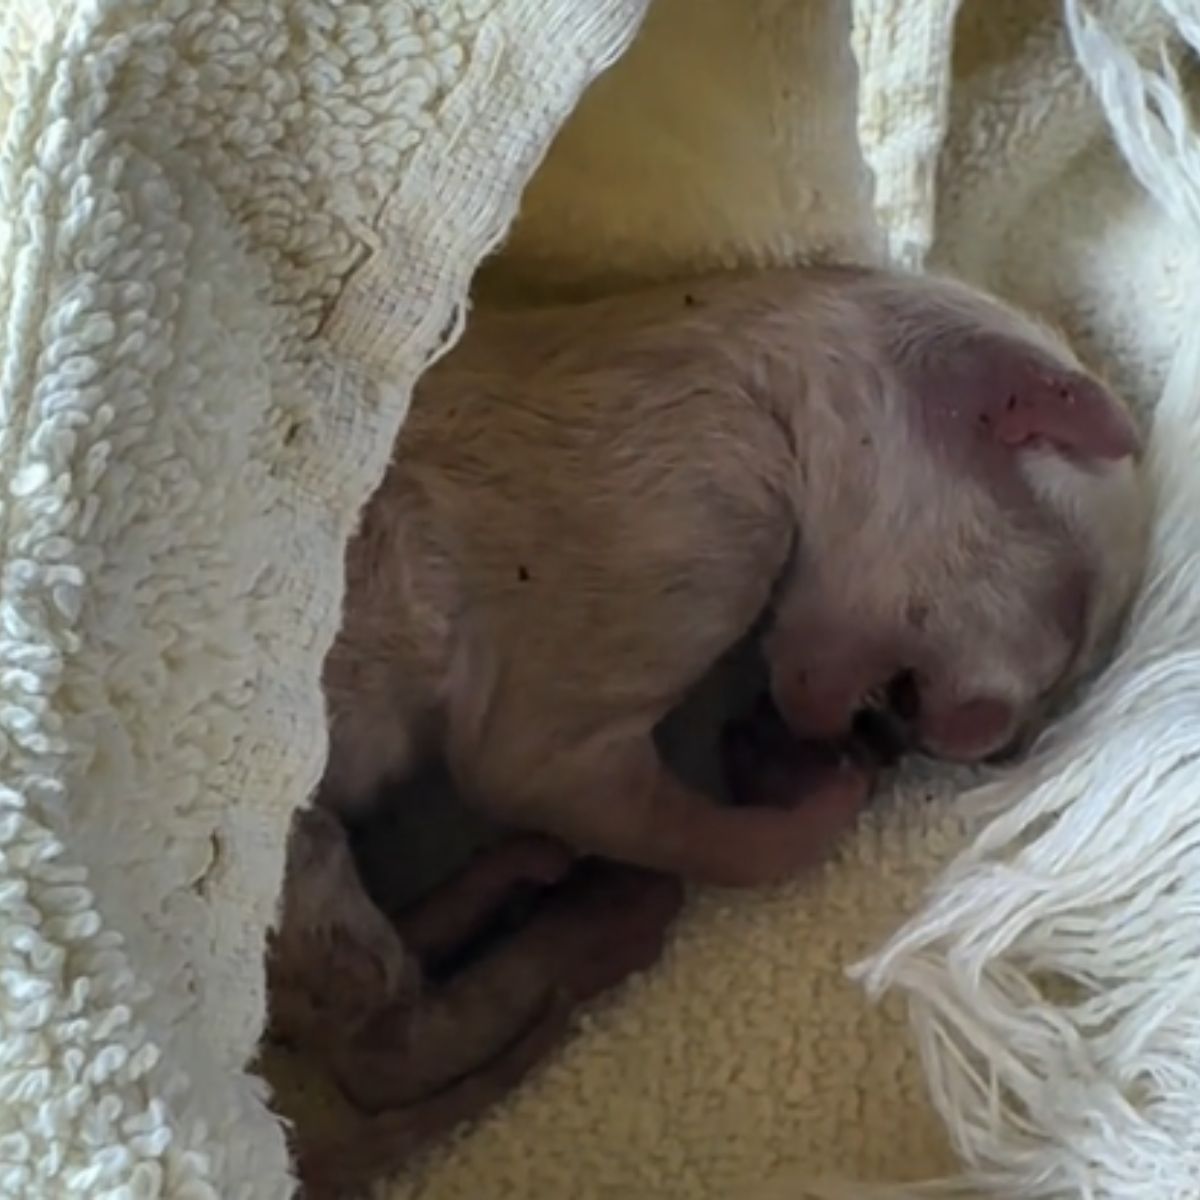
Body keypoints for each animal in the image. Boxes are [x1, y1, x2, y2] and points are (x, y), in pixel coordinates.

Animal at [267, 262, 1147, 1190]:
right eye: (1072, 612)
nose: (1009, 747)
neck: (772, 384)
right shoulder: (707, 518)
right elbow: (710, 835)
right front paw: (801, 781)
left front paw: (780, 752)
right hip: (304, 862)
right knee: (379, 1054)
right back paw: (606, 921)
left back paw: (522, 875)